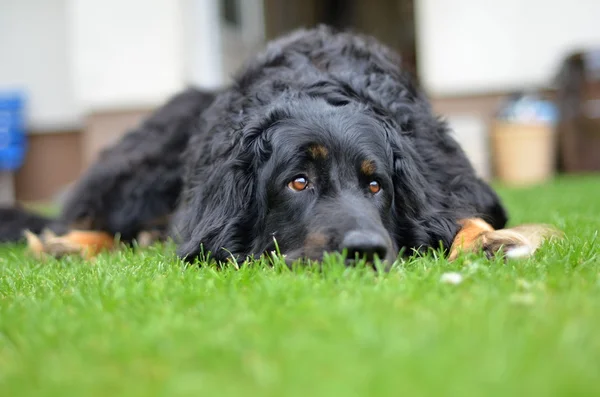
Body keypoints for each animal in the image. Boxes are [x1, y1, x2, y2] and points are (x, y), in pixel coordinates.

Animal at [2, 27, 552, 262]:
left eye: (376, 185)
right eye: (298, 183)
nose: (365, 250)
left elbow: (463, 214)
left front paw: (488, 240)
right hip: (144, 162)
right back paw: (68, 244)